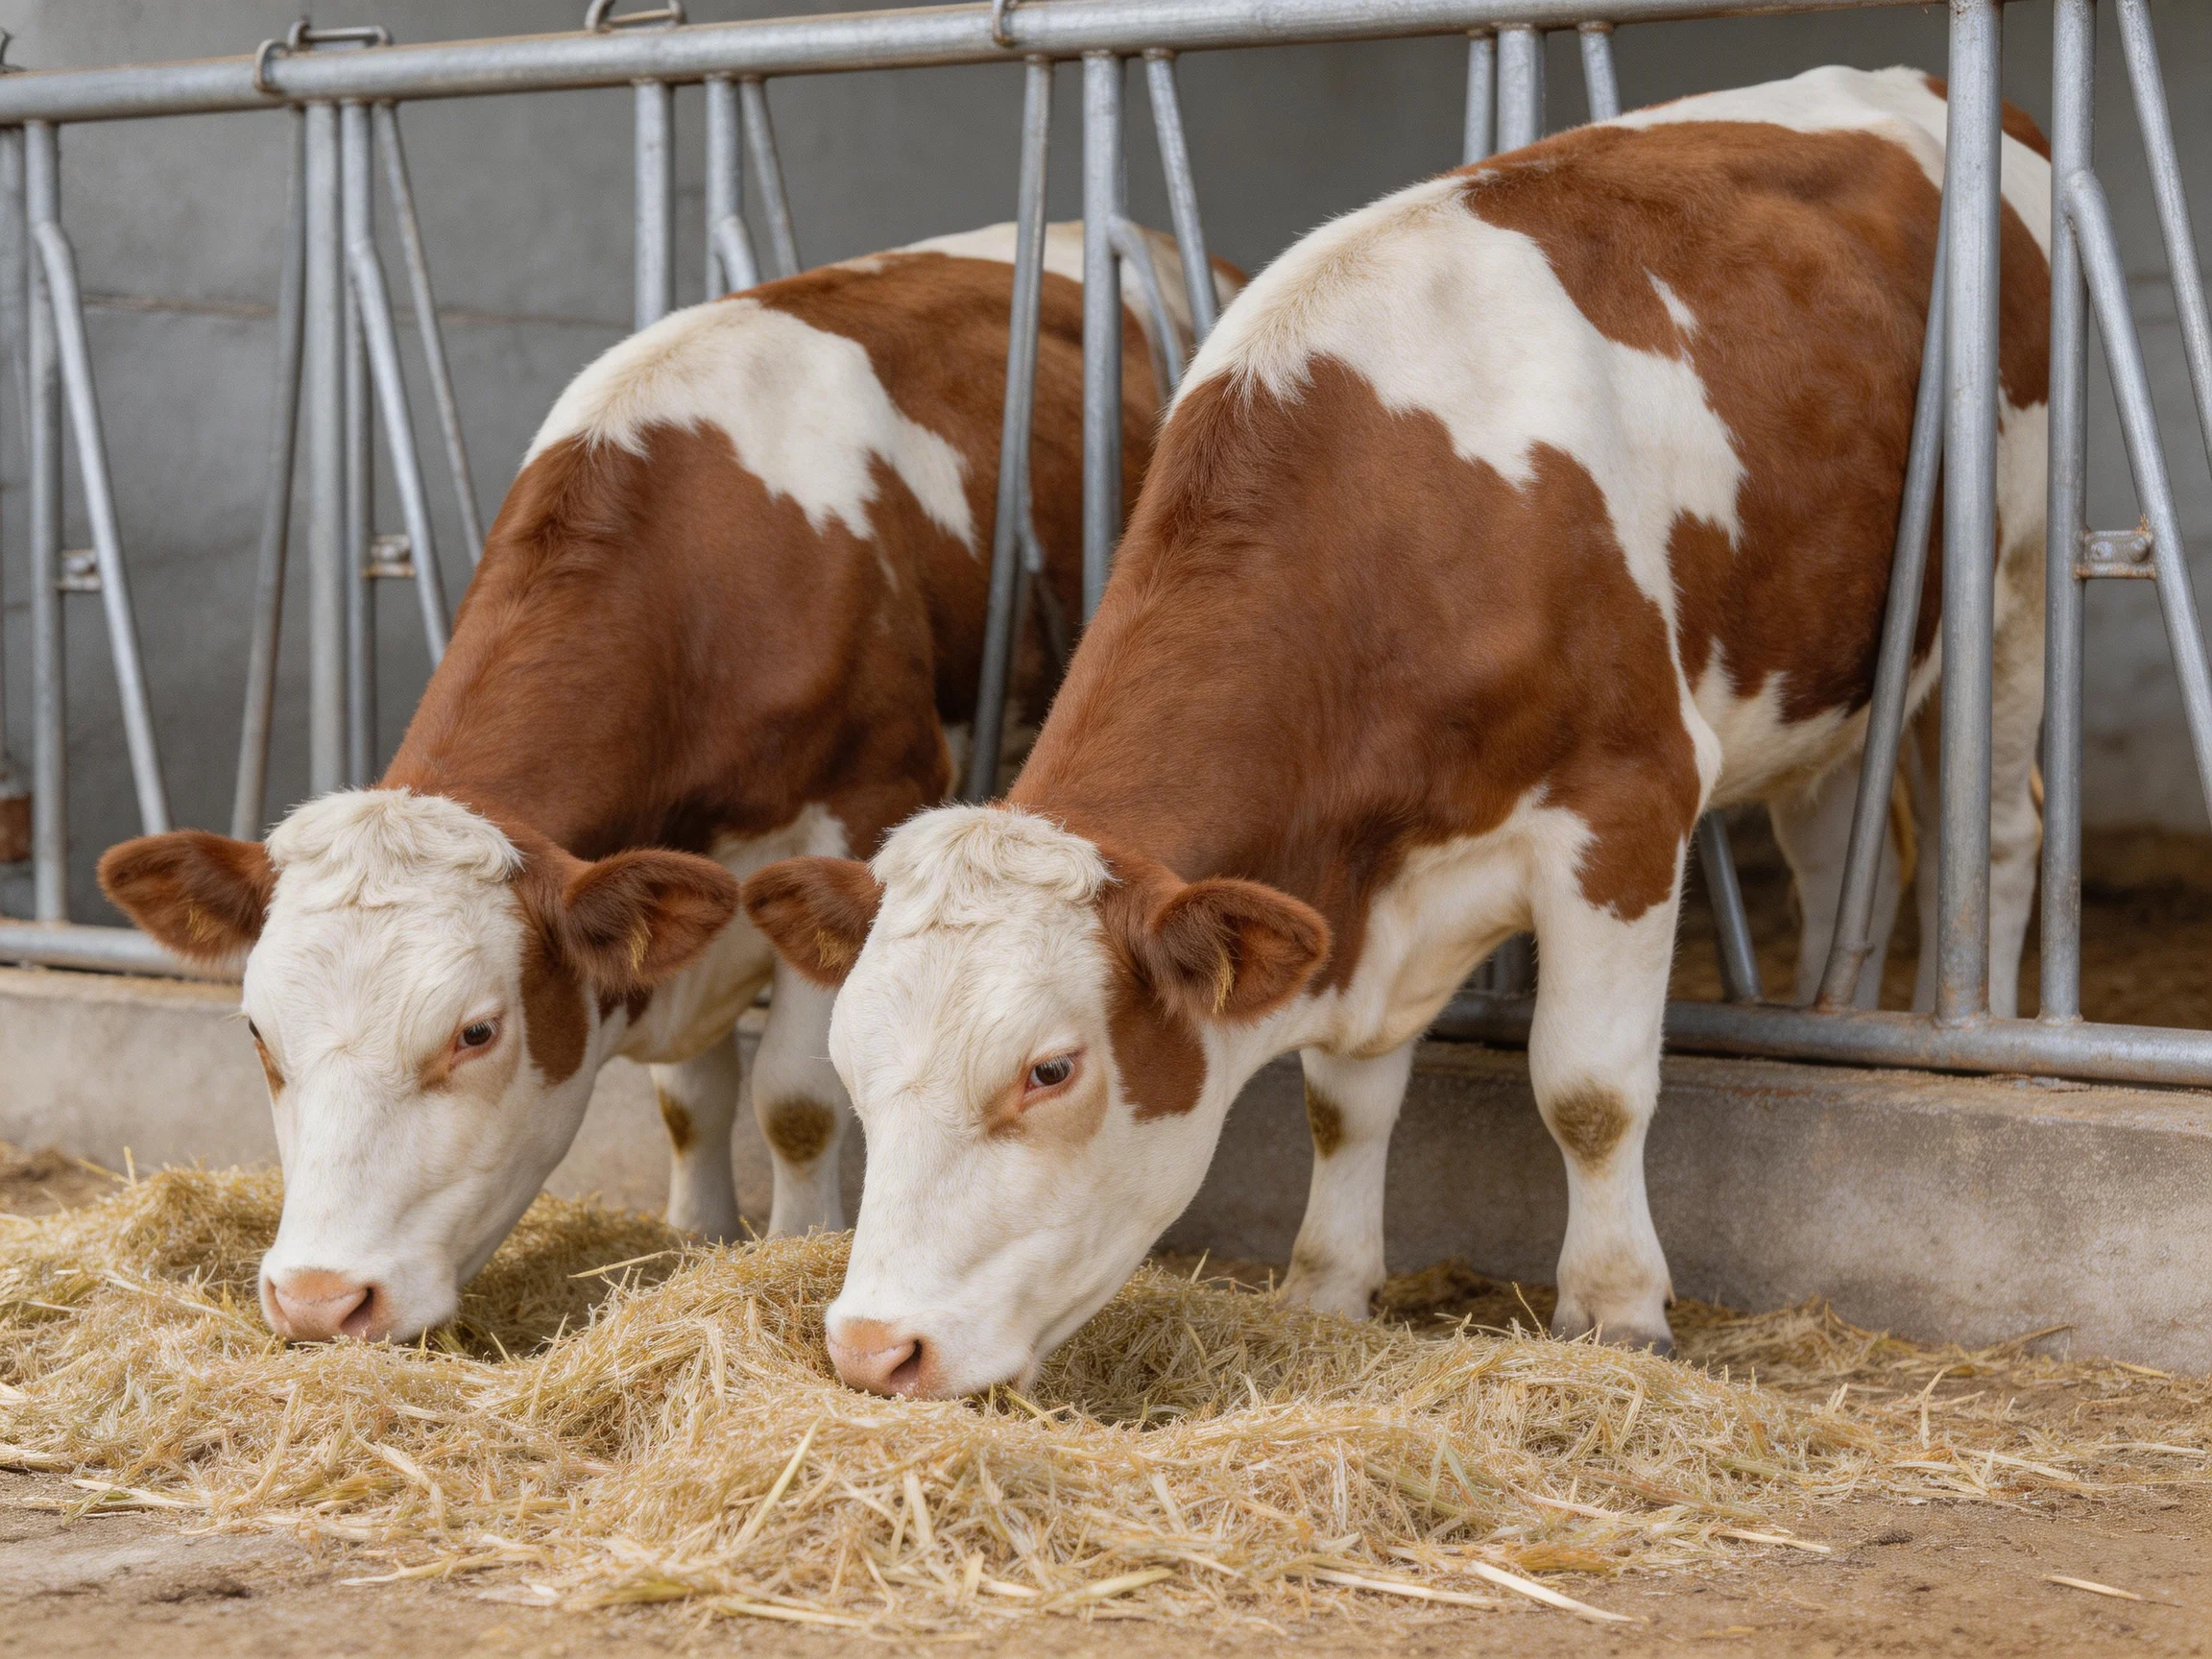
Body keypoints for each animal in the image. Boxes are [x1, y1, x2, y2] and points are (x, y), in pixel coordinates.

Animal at [96, 222, 1239, 1344]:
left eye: (476, 1033)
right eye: (258, 1032)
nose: (319, 1299)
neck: (712, 582)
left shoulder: (857, 812)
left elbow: (795, 1097)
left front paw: (795, 1246)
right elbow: (692, 1098)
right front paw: (698, 1237)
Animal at [742, 67, 2053, 1398]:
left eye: (1049, 1070)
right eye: (850, 1058)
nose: (872, 1348)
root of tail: (1906, 82)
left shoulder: (1628, 803)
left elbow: (1589, 1090)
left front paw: (1617, 1314)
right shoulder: (1342, 901)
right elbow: (1345, 1105)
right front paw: (1327, 1288)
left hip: (2013, 581)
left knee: (2003, 831)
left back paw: (1991, 1023)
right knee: (1847, 859)